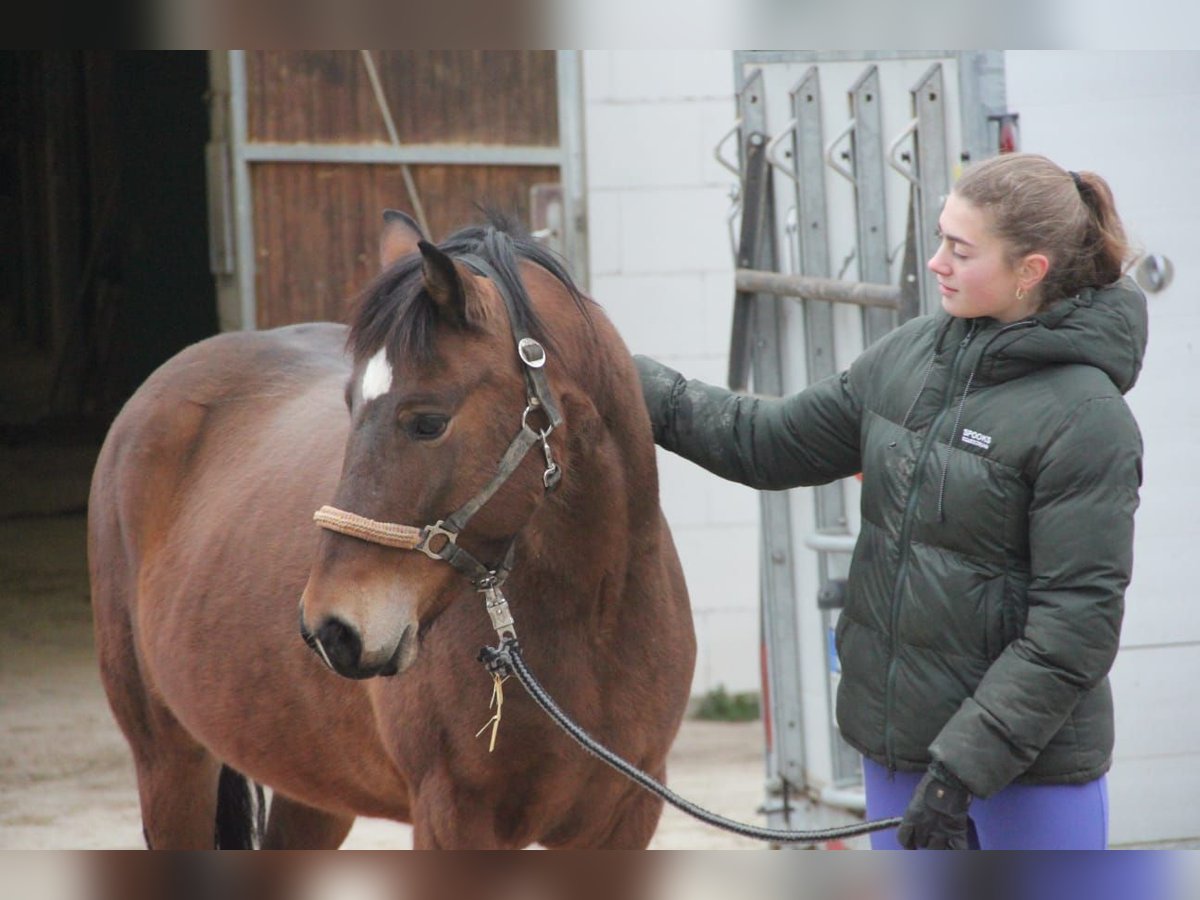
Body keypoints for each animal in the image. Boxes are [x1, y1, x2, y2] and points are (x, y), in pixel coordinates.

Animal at [87, 214, 696, 849]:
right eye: (349, 407)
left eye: (428, 422)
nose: (331, 629)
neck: (593, 620)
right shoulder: (452, 817)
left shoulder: (626, 817)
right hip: (169, 761)